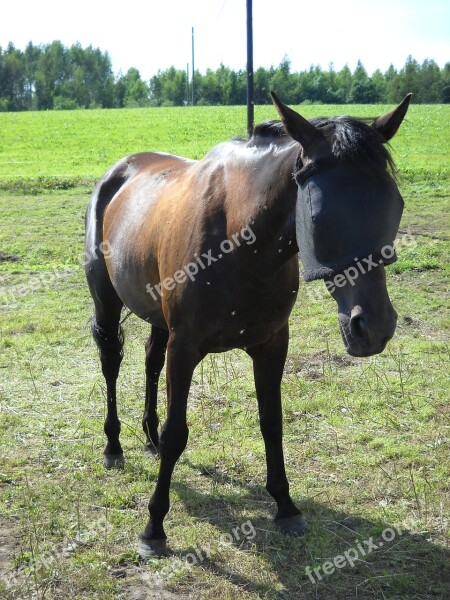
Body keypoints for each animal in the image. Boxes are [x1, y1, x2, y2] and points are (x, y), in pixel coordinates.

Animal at [84, 94, 412, 556]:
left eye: (394, 205)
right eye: (317, 213)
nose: (374, 328)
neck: (237, 239)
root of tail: (119, 171)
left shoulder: (271, 344)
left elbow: (271, 422)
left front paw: (286, 506)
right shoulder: (185, 347)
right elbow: (177, 432)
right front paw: (154, 527)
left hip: (156, 316)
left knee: (150, 364)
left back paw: (147, 439)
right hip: (108, 303)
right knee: (111, 363)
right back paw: (113, 446)